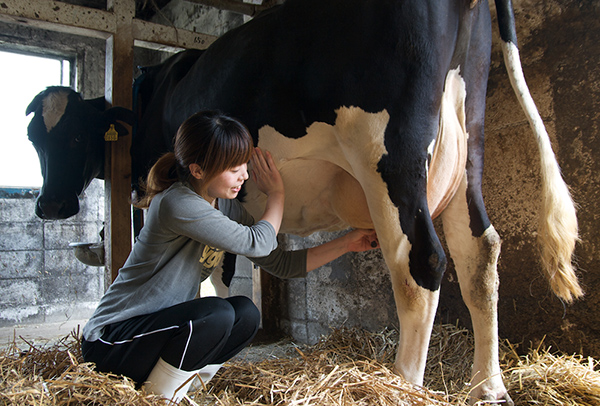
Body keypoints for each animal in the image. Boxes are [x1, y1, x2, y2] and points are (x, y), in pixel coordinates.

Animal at [25, 0, 584, 402]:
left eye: (75, 137)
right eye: (34, 138)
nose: (49, 207)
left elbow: (217, 276)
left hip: (390, 153)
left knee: (419, 262)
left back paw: (401, 385)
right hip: (469, 146)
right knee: (479, 254)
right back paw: (488, 388)